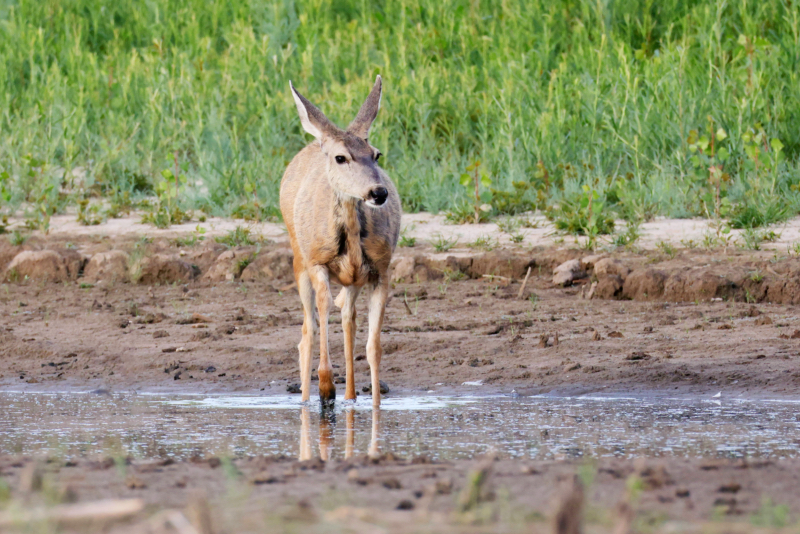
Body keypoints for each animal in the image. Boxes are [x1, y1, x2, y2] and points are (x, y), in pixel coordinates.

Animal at [280, 76, 400, 410]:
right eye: (340, 157)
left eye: (376, 154)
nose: (378, 192)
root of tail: (313, 142)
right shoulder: (318, 262)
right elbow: (319, 321)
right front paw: (324, 390)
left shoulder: (380, 270)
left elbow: (374, 347)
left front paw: (375, 406)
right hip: (299, 258)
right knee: (307, 331)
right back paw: (310, 398)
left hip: (352, 280)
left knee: (348, 318)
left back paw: (350, 395)